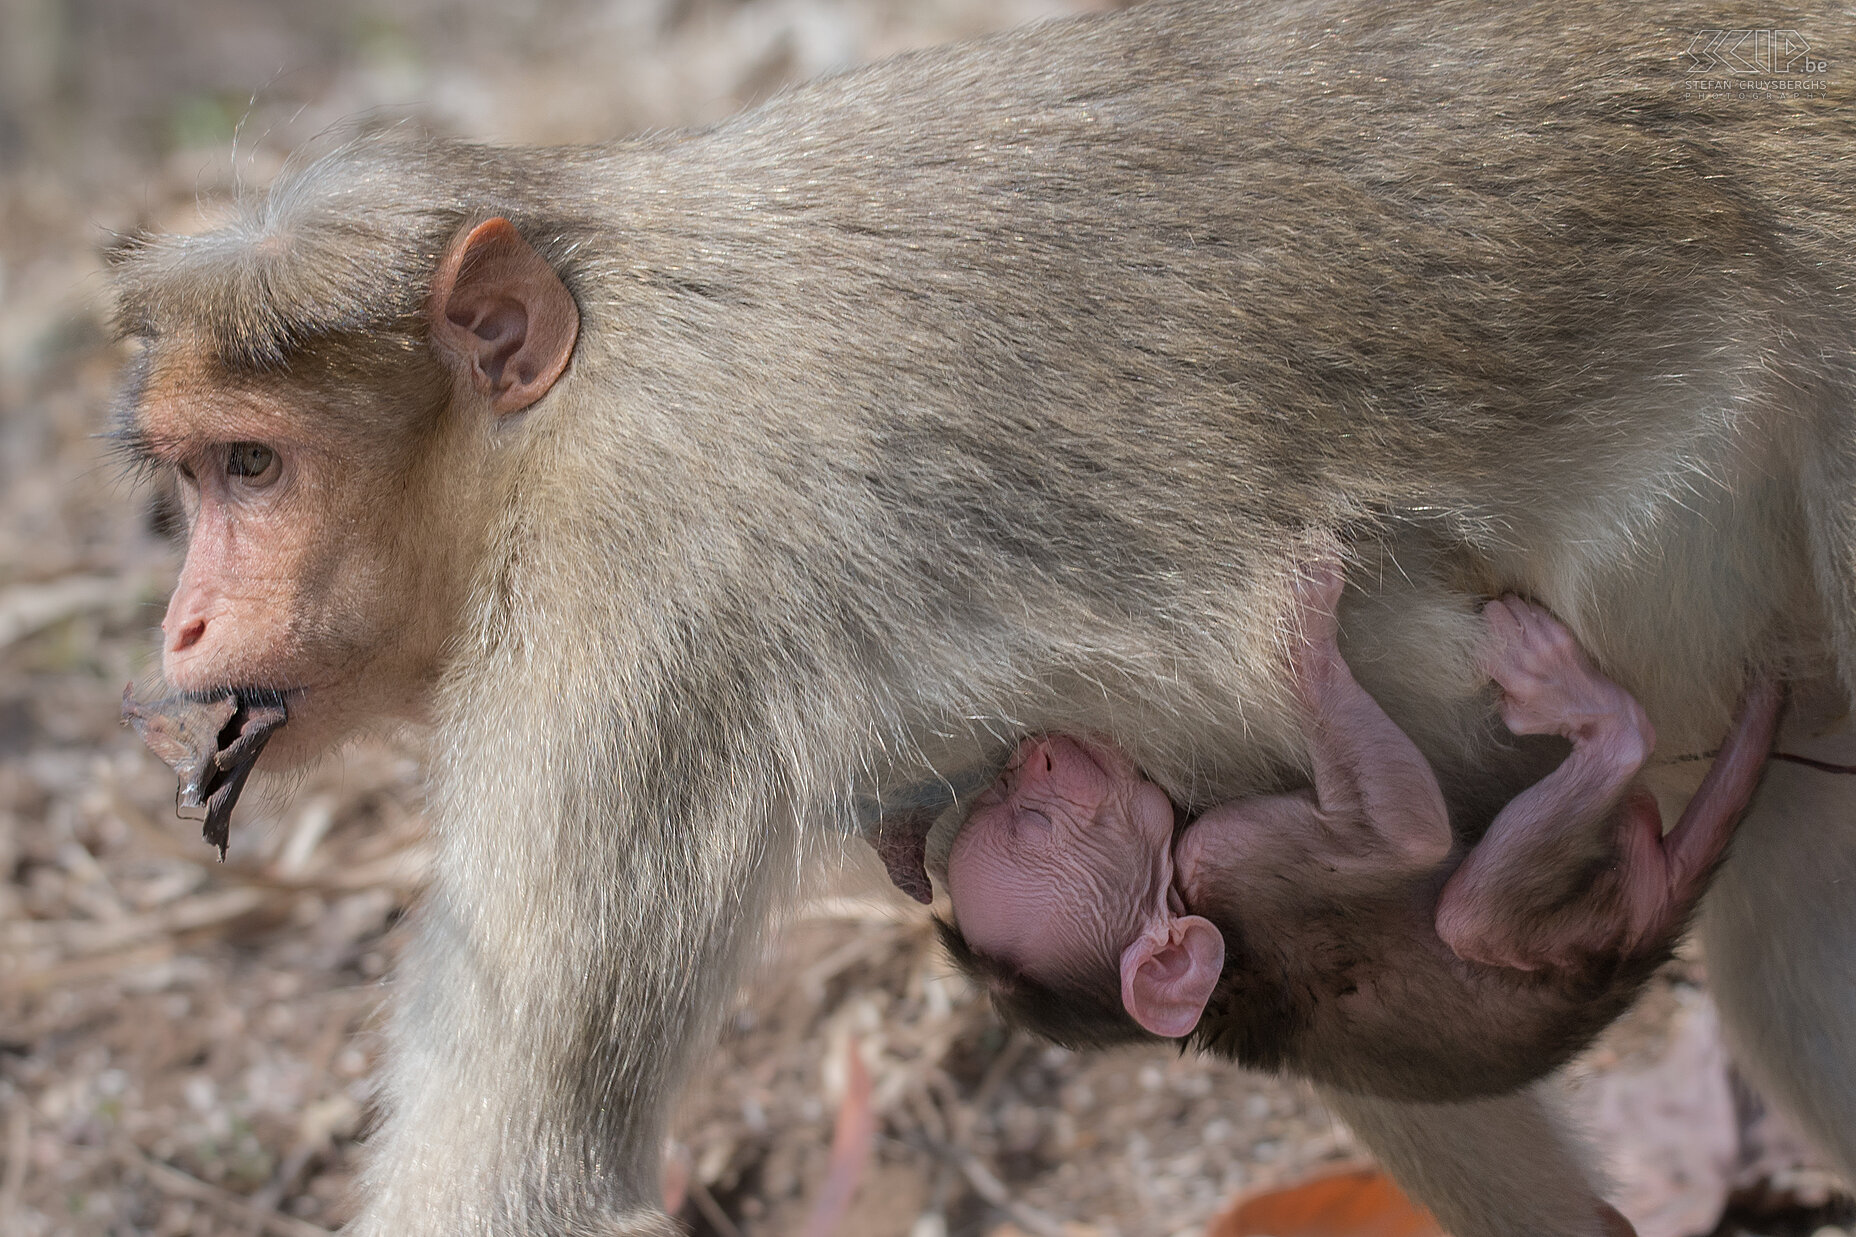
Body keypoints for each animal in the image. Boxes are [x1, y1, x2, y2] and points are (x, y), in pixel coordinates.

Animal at [942, 564, 1781, 1092]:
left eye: (1017, 801)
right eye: (1036, 820)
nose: (1030, 757)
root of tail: (1640, 944)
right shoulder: (1224, 850)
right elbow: (1409, 836)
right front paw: (1297, 646)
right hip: (1578, 932)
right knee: (1471, 914)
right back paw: (1596, 719)